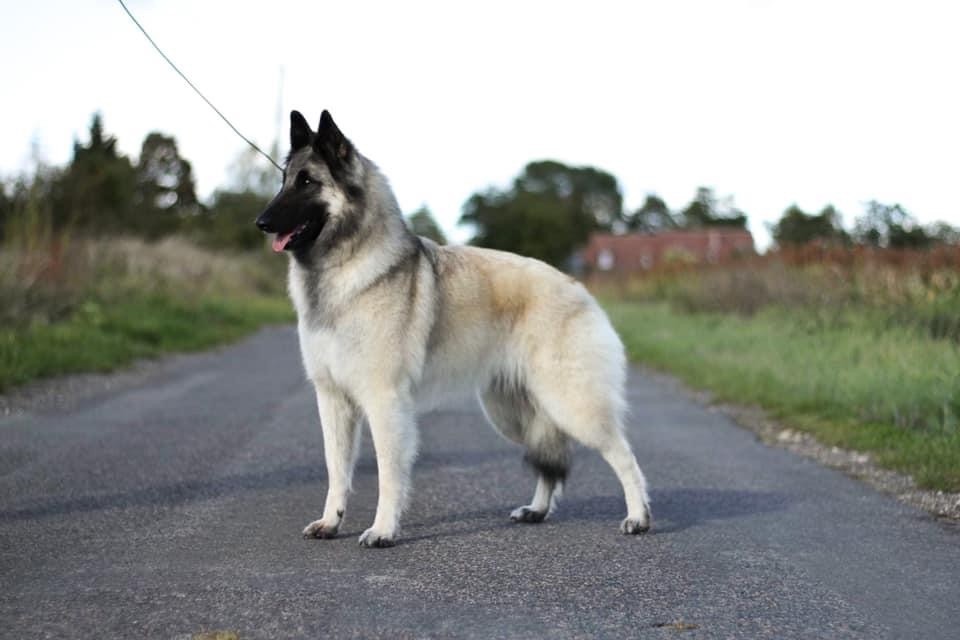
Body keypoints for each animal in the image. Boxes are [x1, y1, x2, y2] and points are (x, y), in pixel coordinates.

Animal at [255, 110, 651, 547]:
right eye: (284, 180)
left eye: (308, 182)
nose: (261, 222)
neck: (346, 265)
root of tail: (579, 288)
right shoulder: (333, 400)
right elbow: (336, 469)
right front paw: (331, 522)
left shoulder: (384, 402)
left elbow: (389, 471)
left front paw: (383, 529)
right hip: (511, 414)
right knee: (549, 462)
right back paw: (537, 510)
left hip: (572, 405)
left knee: (625, 455)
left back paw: (638, 517)